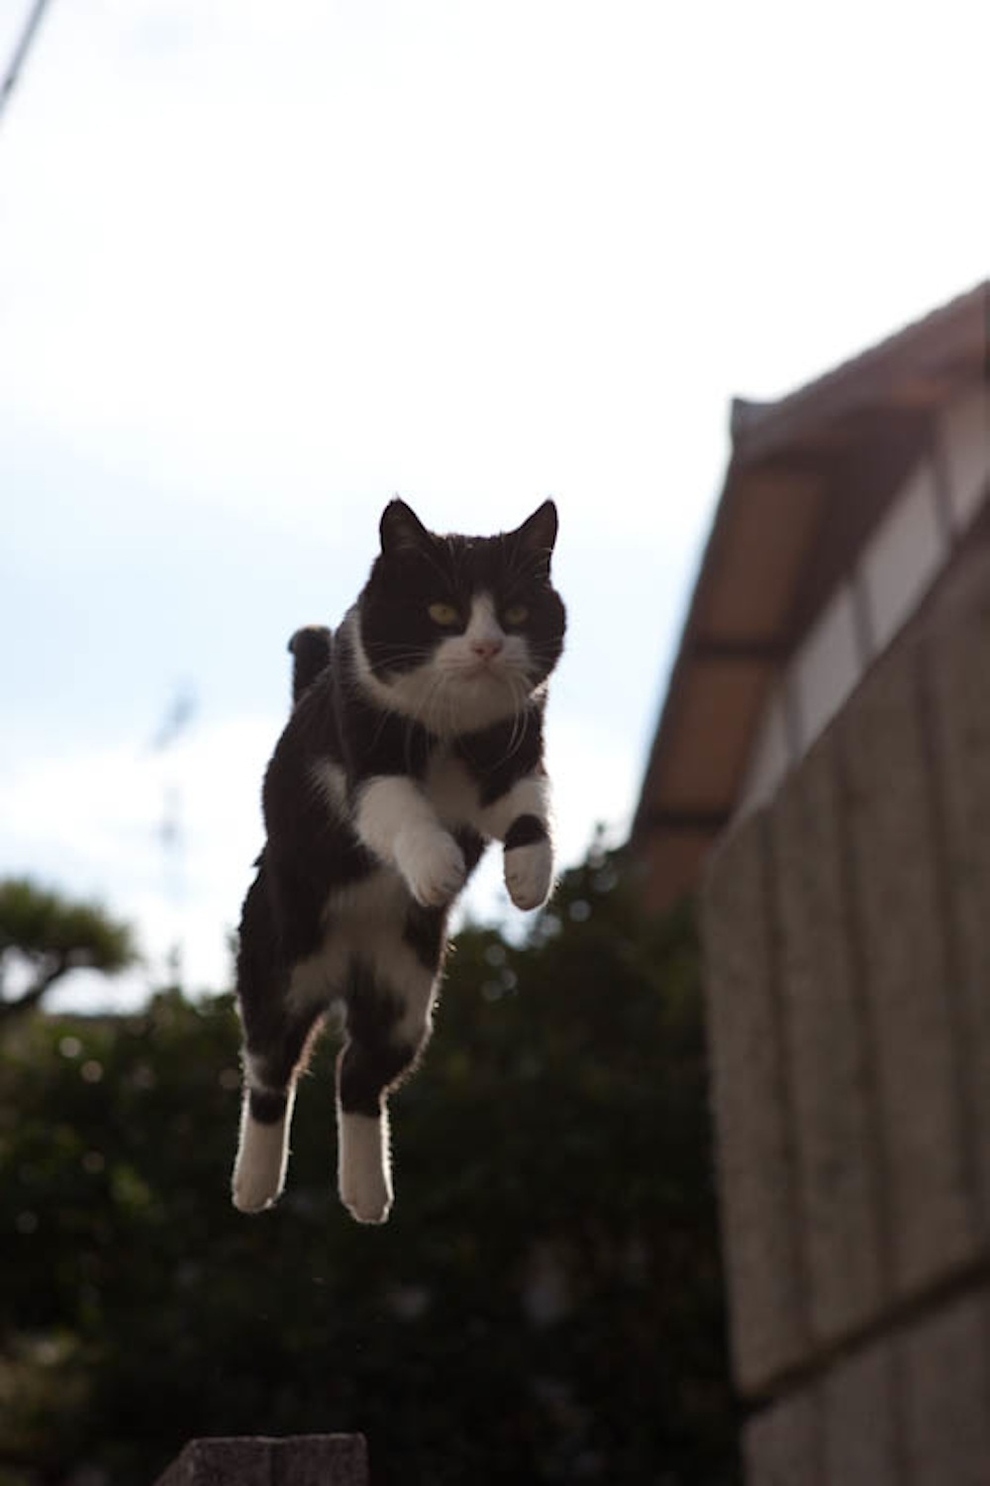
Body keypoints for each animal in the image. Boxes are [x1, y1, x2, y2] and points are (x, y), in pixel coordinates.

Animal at [231, 499, 567, 1218]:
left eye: (516, 612)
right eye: (442, 611)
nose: (487, 646)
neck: (449, 727)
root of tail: (343, 972)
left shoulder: (514, 754)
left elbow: (529, 806)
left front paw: (529, 879)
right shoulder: (365, 762)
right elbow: (401, 808)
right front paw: (438, 867)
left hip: (405, 995)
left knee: (358, 1076)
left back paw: (366, 1194)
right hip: (278, 971)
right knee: (271, 1069)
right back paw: (254, 1185)